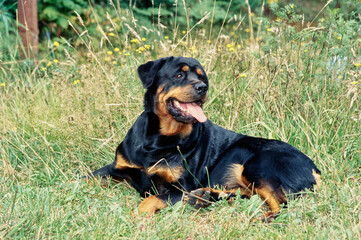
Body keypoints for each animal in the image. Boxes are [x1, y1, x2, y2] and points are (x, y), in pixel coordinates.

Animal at [88, 56, 320, 221]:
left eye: (201, 78)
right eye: (178, 76)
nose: (202, 87)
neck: (156, 138)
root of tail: (316, 169)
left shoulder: (180, 187)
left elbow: (152, 199)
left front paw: (137, 215)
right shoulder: (115, 168)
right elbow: (86, 177)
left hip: (257, 164)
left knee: (284, 204)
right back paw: (204, 197)